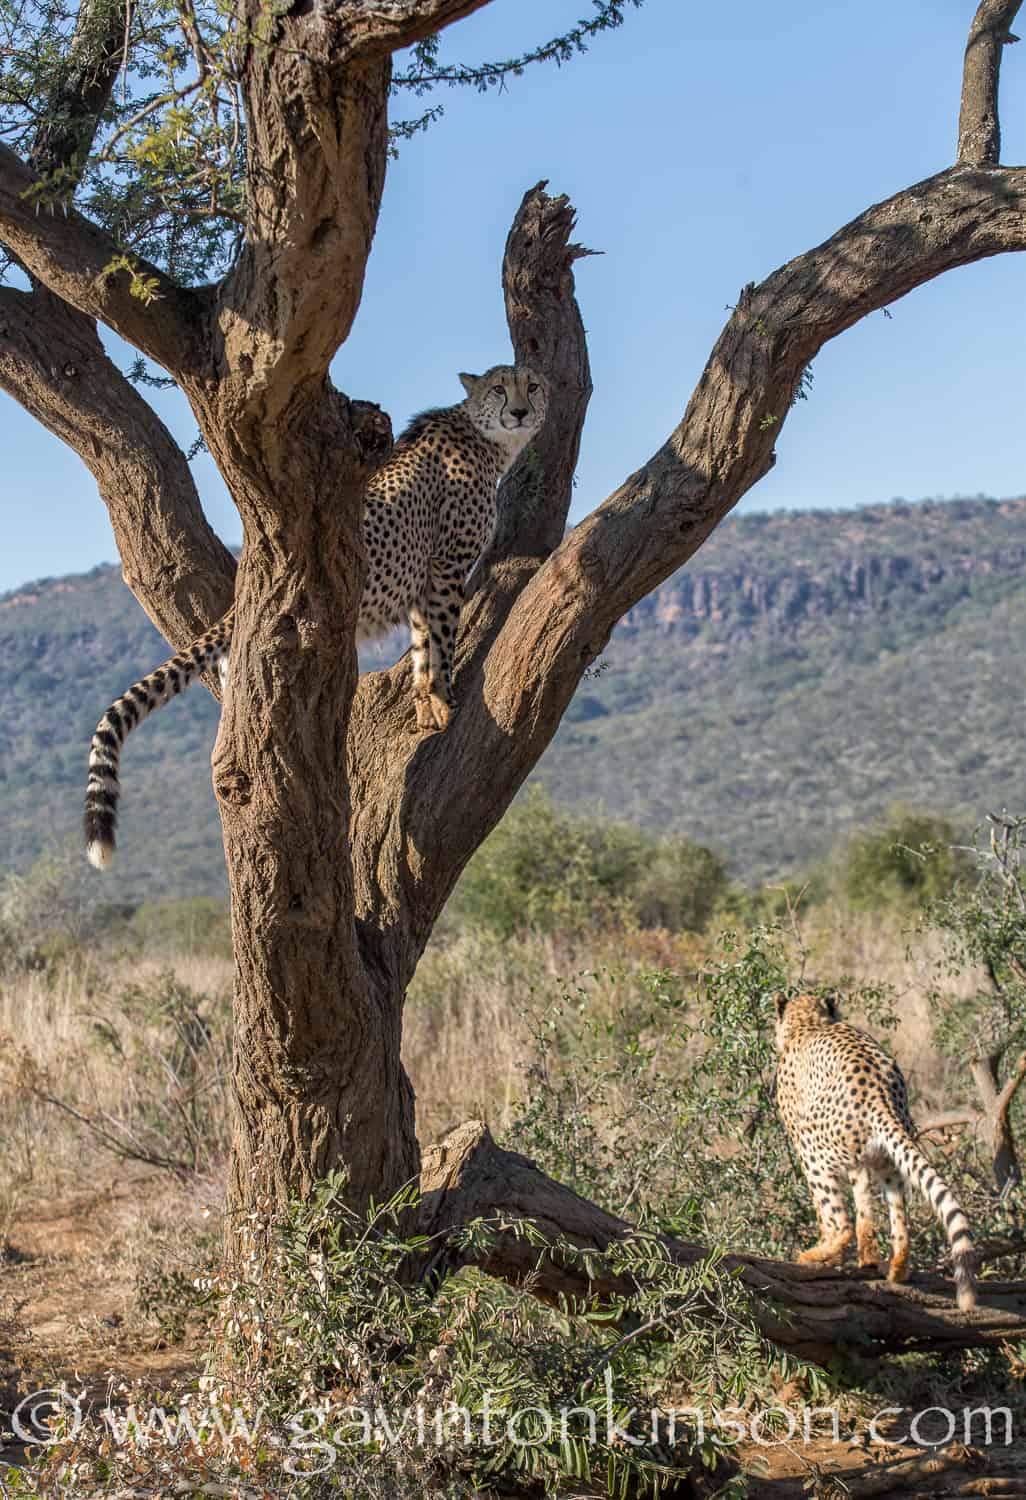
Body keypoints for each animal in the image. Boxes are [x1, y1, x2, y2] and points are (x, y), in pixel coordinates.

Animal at [84, 361, 549, 870]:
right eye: (500, 388)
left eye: (533, 385)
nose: (520, 411)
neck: (485, 438)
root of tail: (239, 605)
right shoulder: (445, 567)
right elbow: (441, 643)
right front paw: (444, 702)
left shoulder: (422, 583)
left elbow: (423, 648)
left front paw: (427, 708)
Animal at [780, 996, 978, 1314]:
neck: (809, 1024)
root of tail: (877, 1091)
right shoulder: (859, 1162)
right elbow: (865, 1207)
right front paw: (869, 1258)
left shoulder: (808, 1145)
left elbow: (830, 1211)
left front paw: (833, 1257)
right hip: (888, 1160)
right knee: (898, 1217)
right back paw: (897, 1268)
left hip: (813, 1151)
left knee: (842, 1222)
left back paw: (815, 1255)